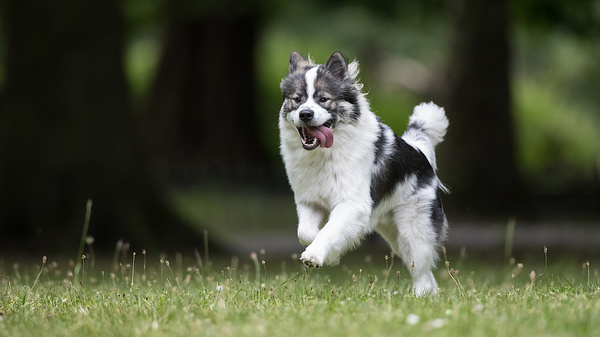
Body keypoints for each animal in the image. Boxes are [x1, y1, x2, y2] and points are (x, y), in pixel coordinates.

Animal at [278, 50, 448, 294]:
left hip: (414, 228)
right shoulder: (310, 202)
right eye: (297, 99)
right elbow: (308, 232)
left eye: (323, 99)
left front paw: (315, 255)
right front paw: (332, 256)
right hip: (392, 231)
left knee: (422, 269)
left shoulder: (352, 204)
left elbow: (329, 229)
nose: (306, 114)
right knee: (424, 273)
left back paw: (420, 296)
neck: (326, 152)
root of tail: (418, 149)